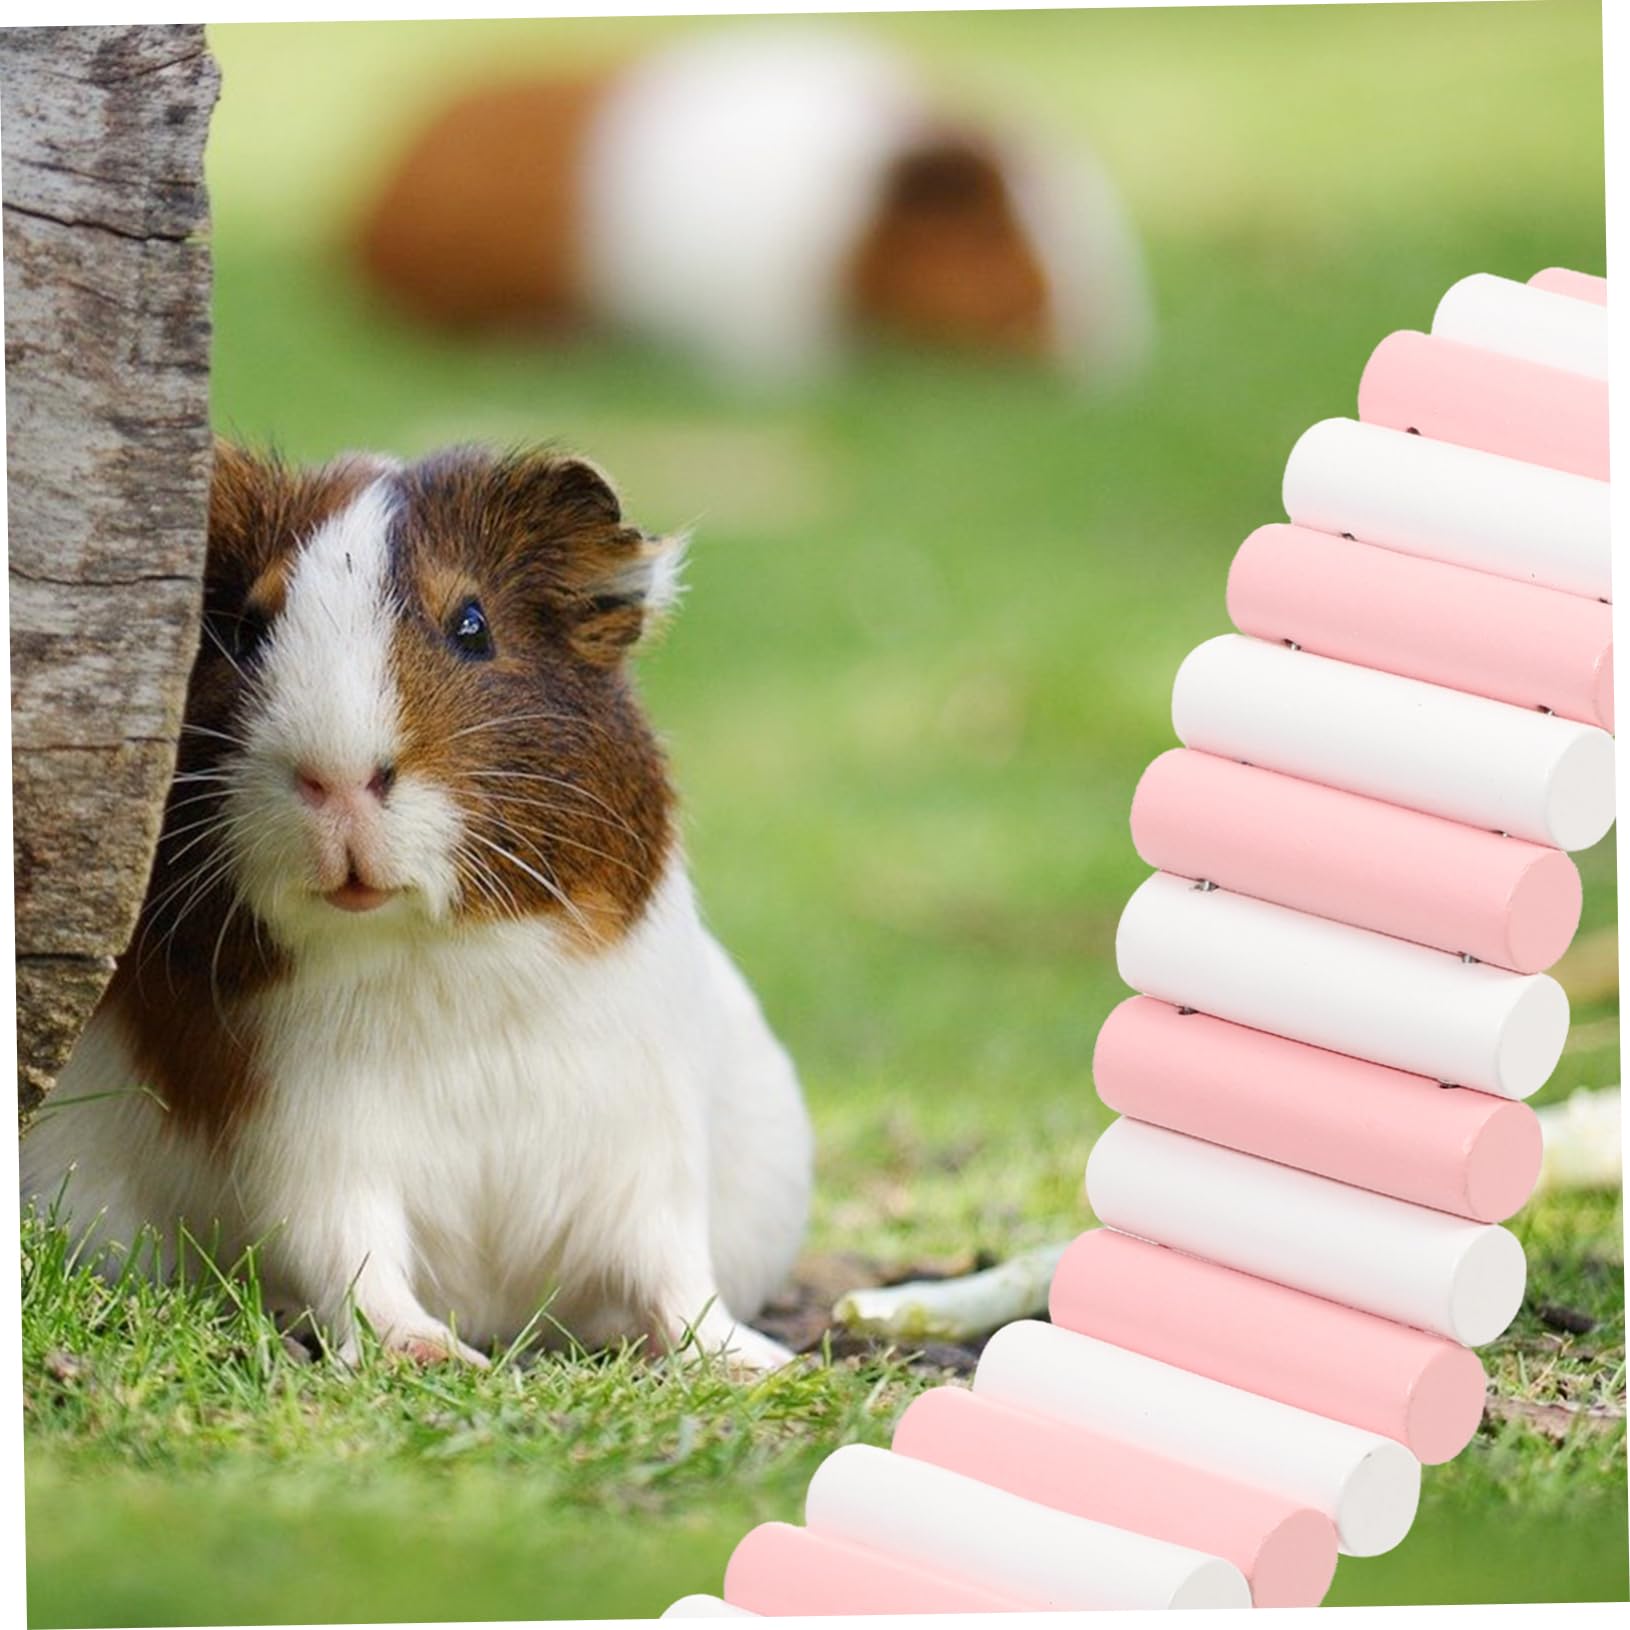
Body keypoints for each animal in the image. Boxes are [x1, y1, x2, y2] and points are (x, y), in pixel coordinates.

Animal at [20, 442, 812, 1372]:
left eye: (471, 625)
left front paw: (762, 1365)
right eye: (247, 629)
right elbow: (351, 1260)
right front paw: (435, 1354)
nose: (337, 778)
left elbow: (678, 1277)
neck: (429, 962)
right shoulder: (308, 1144)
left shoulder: (644, 1145)